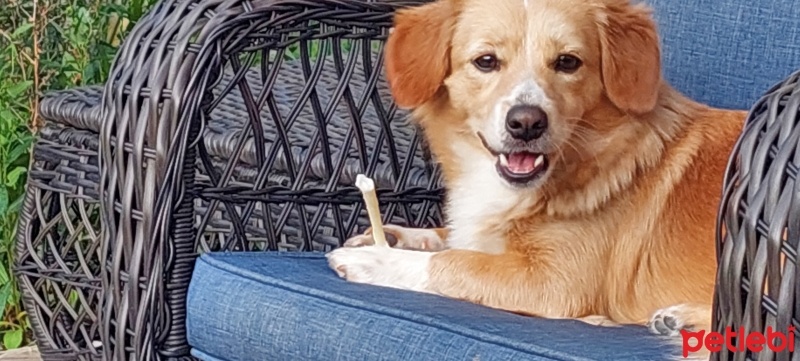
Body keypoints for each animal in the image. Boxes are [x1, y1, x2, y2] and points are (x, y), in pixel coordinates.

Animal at [326, 0, 752, 354]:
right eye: (486, 61)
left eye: (567, 62)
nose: (526, 123)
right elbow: (454, 240)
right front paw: (394, 235)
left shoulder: (555, 285)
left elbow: (456, 262)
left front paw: (377, 259)